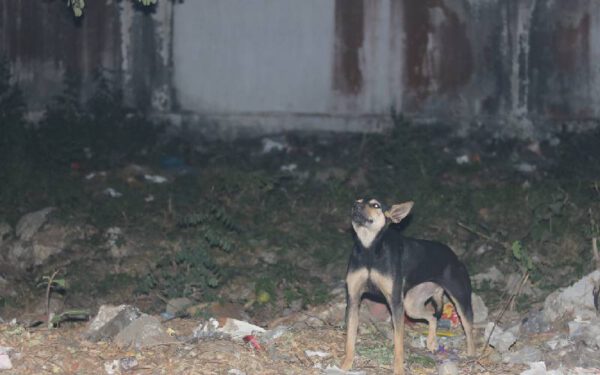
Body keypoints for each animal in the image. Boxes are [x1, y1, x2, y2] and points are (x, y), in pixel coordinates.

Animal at [340, 198, 476, 374]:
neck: (369, 248)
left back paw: (472, 355)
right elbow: (350, 338)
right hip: (411, 306)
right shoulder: (353, 299)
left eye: (375, 205)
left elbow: (399, 344)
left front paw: (398, 369)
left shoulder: (395, 303)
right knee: (432, 317)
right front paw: (346, 365)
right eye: (357, 201)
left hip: (461, 302)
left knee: (469, 329)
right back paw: (431, 342)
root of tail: (454, 256)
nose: (354, 206)